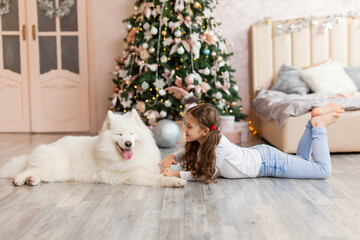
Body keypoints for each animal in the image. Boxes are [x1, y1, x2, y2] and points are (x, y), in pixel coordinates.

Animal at [0, 110, 186, 188]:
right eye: (119, 134)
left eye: (132, 133)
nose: (128, 143)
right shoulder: (136, 175)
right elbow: (158, 179)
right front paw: (175, 181)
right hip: (53, 166)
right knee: (27, 169)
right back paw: (19, 180)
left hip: (55, 173)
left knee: (35, 172)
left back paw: (32, 180)